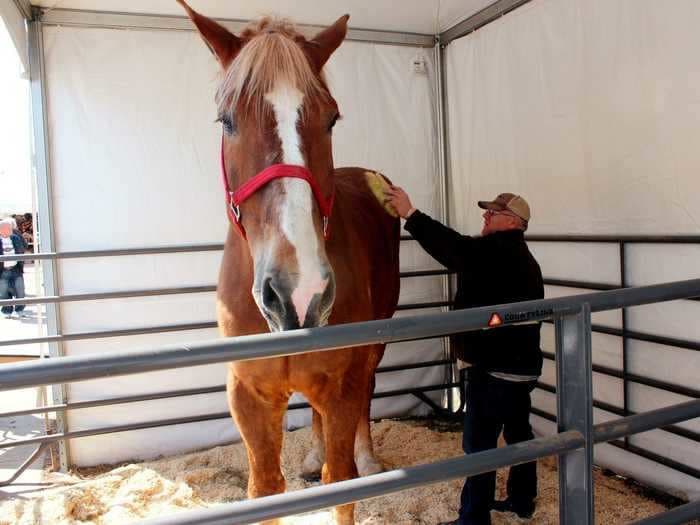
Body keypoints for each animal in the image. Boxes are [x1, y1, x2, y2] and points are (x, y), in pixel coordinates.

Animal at [178, 2, 402, 520]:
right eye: (226, 121)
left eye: (332, 119)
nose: (299, 294)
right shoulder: (249, 397)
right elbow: (264, 490)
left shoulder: (342, 385)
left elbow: (341, 485)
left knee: (369, 391)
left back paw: (368, 456)